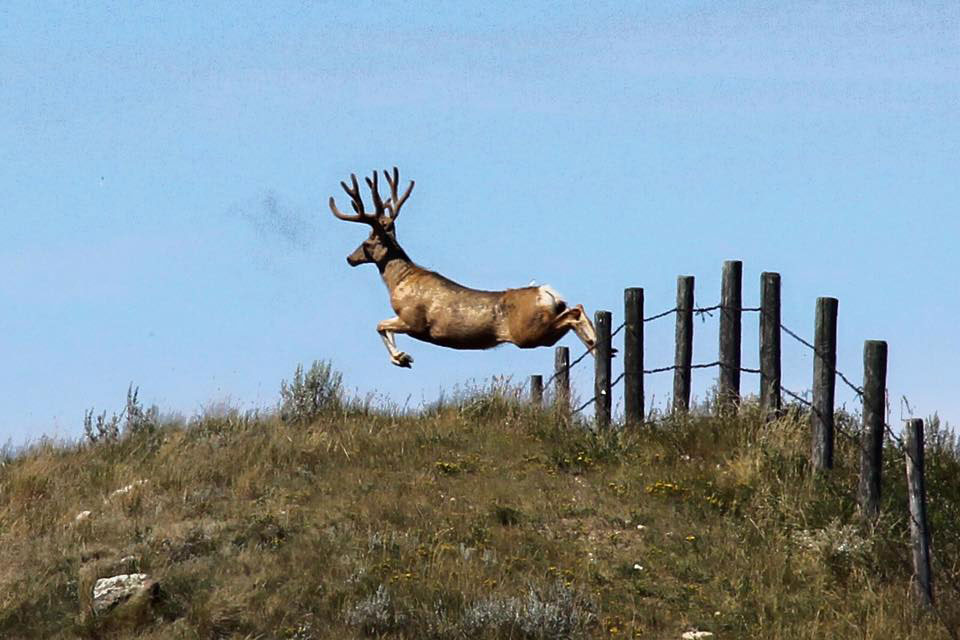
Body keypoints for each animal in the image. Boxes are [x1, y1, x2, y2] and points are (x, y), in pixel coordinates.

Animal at [330, 169, 600, 370]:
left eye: (367, 242)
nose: (349, 258)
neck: (399, 281)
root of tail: (546, 293)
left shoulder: (413, 320)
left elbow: (379, 325)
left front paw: (402, 358)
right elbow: (381, 326)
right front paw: (402, 358)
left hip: (530, 332)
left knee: (574, 313)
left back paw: (596, 344)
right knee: (576, 308)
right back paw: (598, 346)